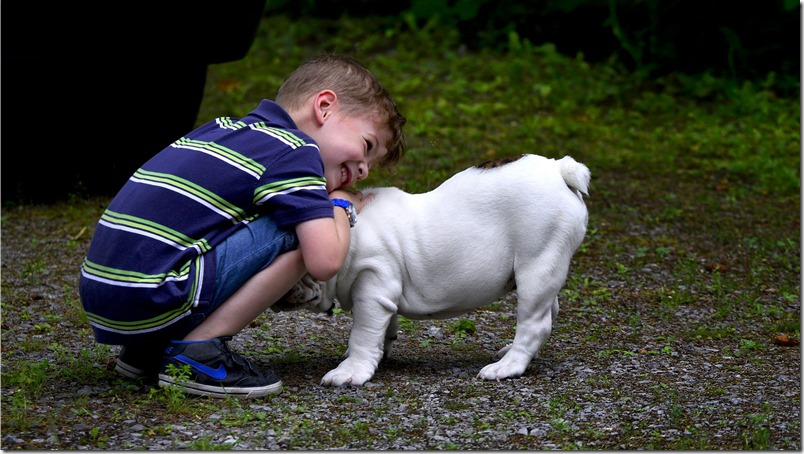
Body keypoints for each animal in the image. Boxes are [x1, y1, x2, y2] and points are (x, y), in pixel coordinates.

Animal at [280, 153, 588, 386]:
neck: (345, 231)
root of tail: (559, 170)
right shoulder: (383, 296)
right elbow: (385, 327)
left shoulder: (372, 288)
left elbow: (363, 334)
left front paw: (351, 371)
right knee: (549, 309)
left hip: (537, 263)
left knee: (534, 322)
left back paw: (507, 366)